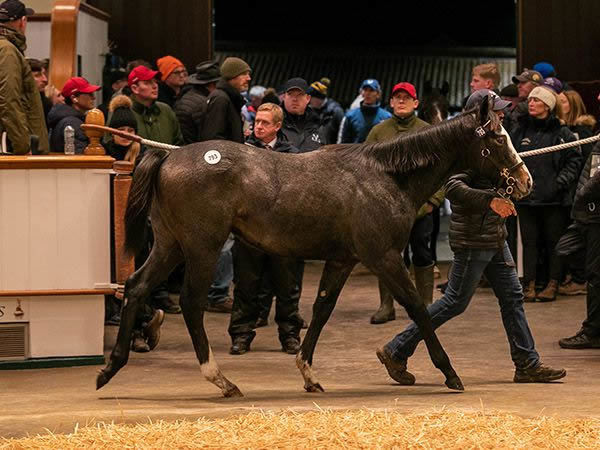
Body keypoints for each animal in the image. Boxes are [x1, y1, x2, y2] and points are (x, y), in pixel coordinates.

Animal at [98, 97, 536, 398]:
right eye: (498, 138)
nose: (524, 180)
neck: (385, 176)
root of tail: (167, 158)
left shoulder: (342, 261)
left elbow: (323, 310)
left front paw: (309, 375)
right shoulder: (385, 258)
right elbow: (418, 309)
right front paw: (448, 374)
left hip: (170, 245)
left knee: (136, 286)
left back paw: (110, 368)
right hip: (202, 248)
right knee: (190, 304)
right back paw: (221, 380)